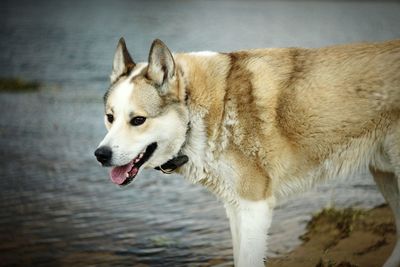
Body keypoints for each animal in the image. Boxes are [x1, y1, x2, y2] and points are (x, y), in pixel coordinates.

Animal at [94, 38, 400, 267]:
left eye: (138, 120)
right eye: (110, 117)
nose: (100, 155)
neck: (199, 114)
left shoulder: (255, 206)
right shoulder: (235, 206)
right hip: (385, 175)